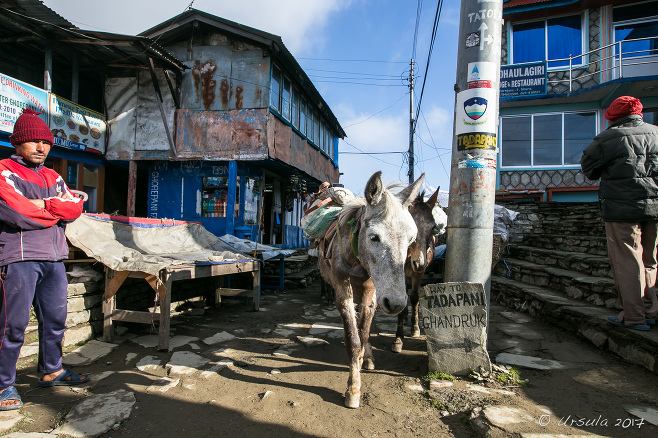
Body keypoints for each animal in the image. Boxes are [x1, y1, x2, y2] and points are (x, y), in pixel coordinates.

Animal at [316, 170, 420, 408]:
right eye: (374, 237)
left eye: (411, 238)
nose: (397, 303)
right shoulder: (343, 292)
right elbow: (354, 340)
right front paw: (353, 389)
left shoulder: (372, 294)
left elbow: (363, 335)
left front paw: (362, 362)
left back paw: (369, 357)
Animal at [392, 190, 444, 354]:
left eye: (433, 227)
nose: (420, 263)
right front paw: (398, 339)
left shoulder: (419, 273)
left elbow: (414, 298)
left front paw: (415, 328)